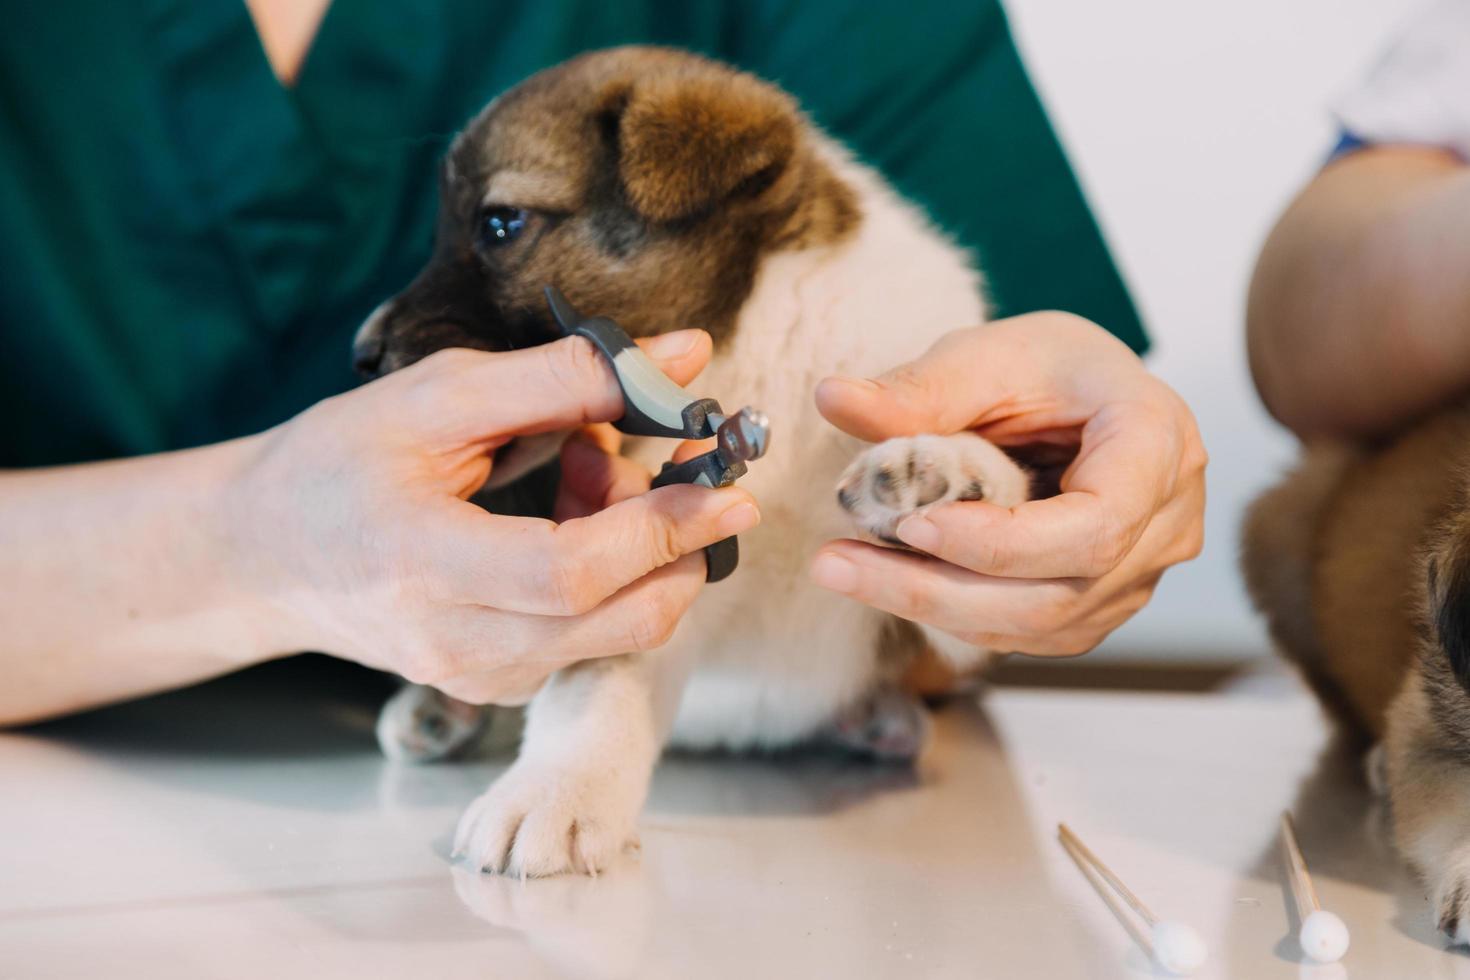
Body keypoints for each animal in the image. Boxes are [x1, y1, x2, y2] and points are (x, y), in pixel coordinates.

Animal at [351, 45, 1029, 875]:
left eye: (501, 224)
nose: (360, 354)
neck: (763, 356)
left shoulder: (953, 629)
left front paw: (949, 475)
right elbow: (595, 685)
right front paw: (555, 792)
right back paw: (437, 709)